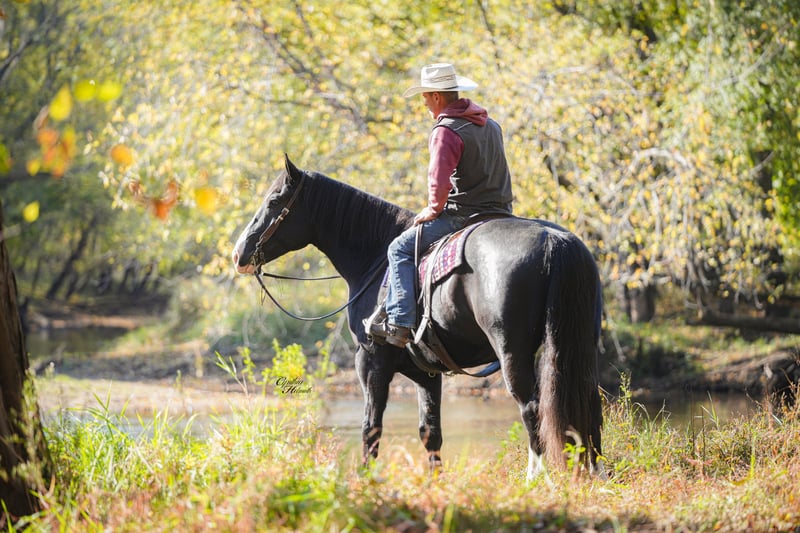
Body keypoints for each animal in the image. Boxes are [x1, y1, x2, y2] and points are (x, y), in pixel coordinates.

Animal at [232, 155, 604, 479]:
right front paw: (434, 481)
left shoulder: (371, 361)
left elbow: (371, 428)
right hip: (579, 348)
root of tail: (555, 241)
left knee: (532, 408)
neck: (374, 257)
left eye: (274, 202)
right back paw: (595, 472)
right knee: (589, 404)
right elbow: (430, 431)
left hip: (513, 351)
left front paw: (365, 481)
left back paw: (536, 477)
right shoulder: (427, 371)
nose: (239, 254)